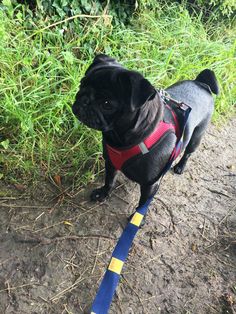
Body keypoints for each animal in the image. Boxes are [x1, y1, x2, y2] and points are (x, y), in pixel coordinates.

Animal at [72, 55, 219, 207]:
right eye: (81, 84)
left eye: (106, 104)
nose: (83, 99)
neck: (120, 139)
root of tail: (201, 84)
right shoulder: (111, 163)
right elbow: (109, 180)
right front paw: (103, 193)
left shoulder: (151, 184)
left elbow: (142, 204)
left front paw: (137, 214)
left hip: (196, 137)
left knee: (188, 153)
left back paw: (180, 166)